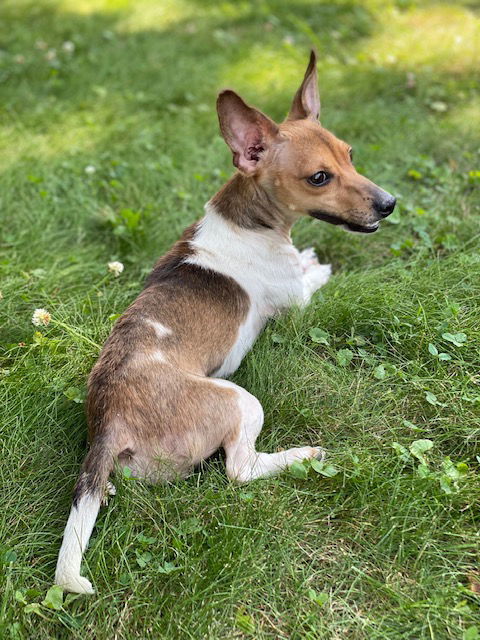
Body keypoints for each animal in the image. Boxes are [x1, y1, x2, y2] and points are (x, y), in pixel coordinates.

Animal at [54, 50, 396, 596]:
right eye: (319, 177)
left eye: (351, 154)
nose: (390, 204)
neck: (251, 218)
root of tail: (109, 425)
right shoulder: (296, 298)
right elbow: (310, 276)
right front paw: (319, 262)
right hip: (241, 401)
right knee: (240, 470)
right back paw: (302, 455)